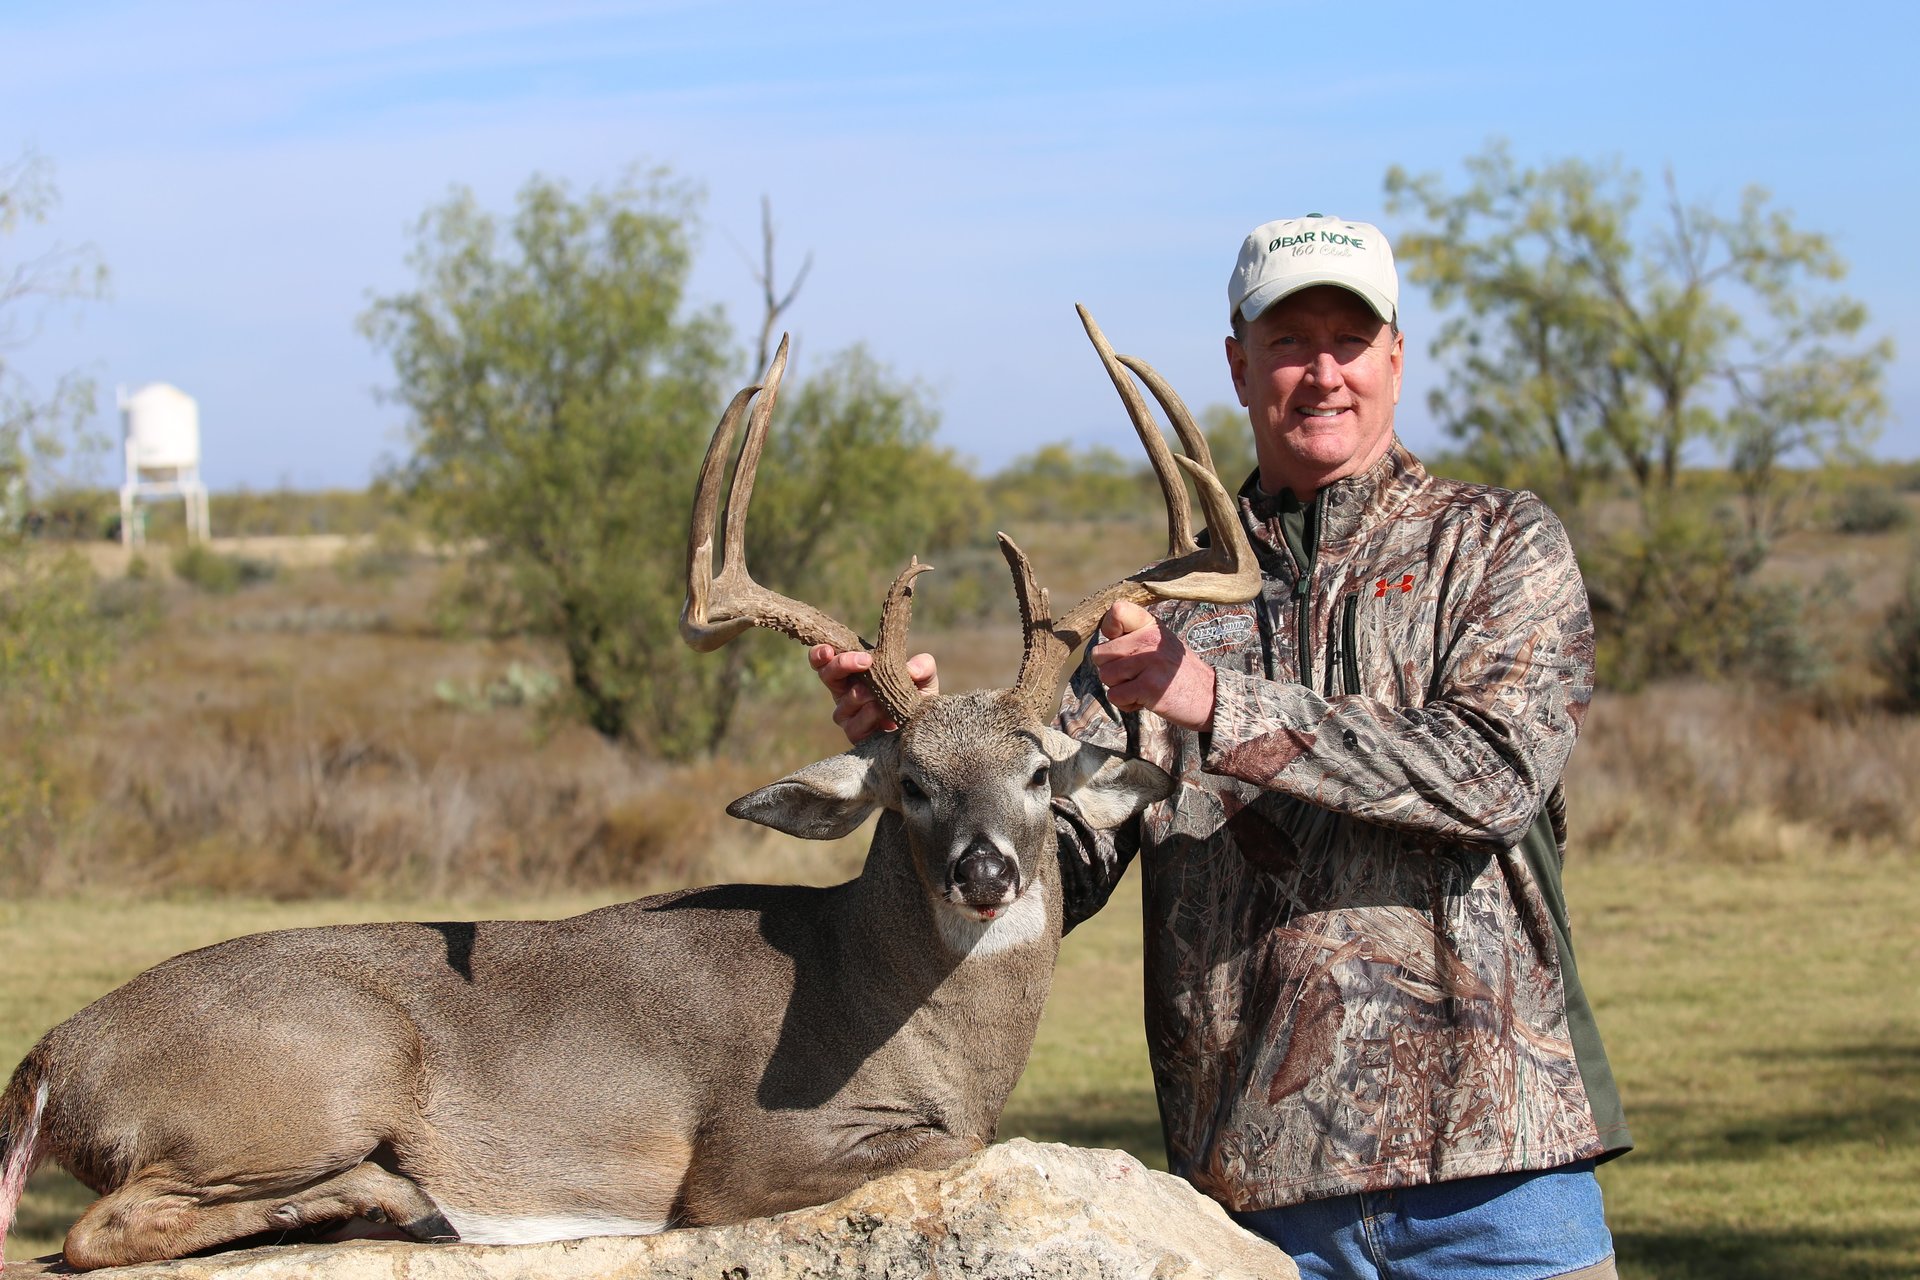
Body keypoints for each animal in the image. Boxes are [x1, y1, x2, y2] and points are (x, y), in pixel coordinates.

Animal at [0, 306, 1258, 1272]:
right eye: (910, 782)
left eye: (1040, 768)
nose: (987, 868)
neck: (899, 1016)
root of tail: (52, 1055)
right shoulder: (747, 1147)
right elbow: (942, 1148)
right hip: (325, 1066)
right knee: (103, 1227)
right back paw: (403, 1199)